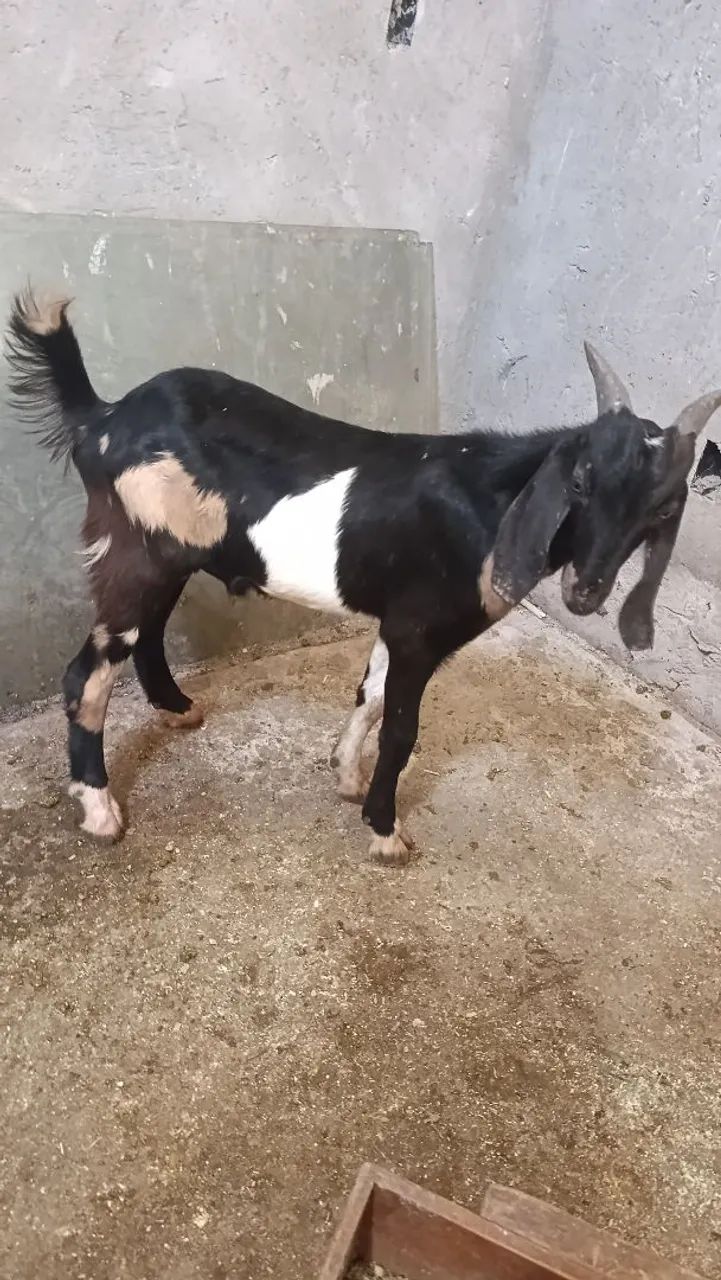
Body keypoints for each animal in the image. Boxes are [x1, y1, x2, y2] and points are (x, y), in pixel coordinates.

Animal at [6, 289, 720, 862]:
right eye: (579, 480)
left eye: (662, 509)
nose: (586, 591)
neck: (490, 502)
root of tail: (102, 417)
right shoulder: (419, 631)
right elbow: (401, 730)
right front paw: (385, 832)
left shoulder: (397, 619)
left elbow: (368, 696)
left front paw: (344, 776)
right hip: (134, 547)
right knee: (89, 671)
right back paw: (100, 811)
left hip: (168, 550)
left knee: (147, 631)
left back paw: (179, 710)